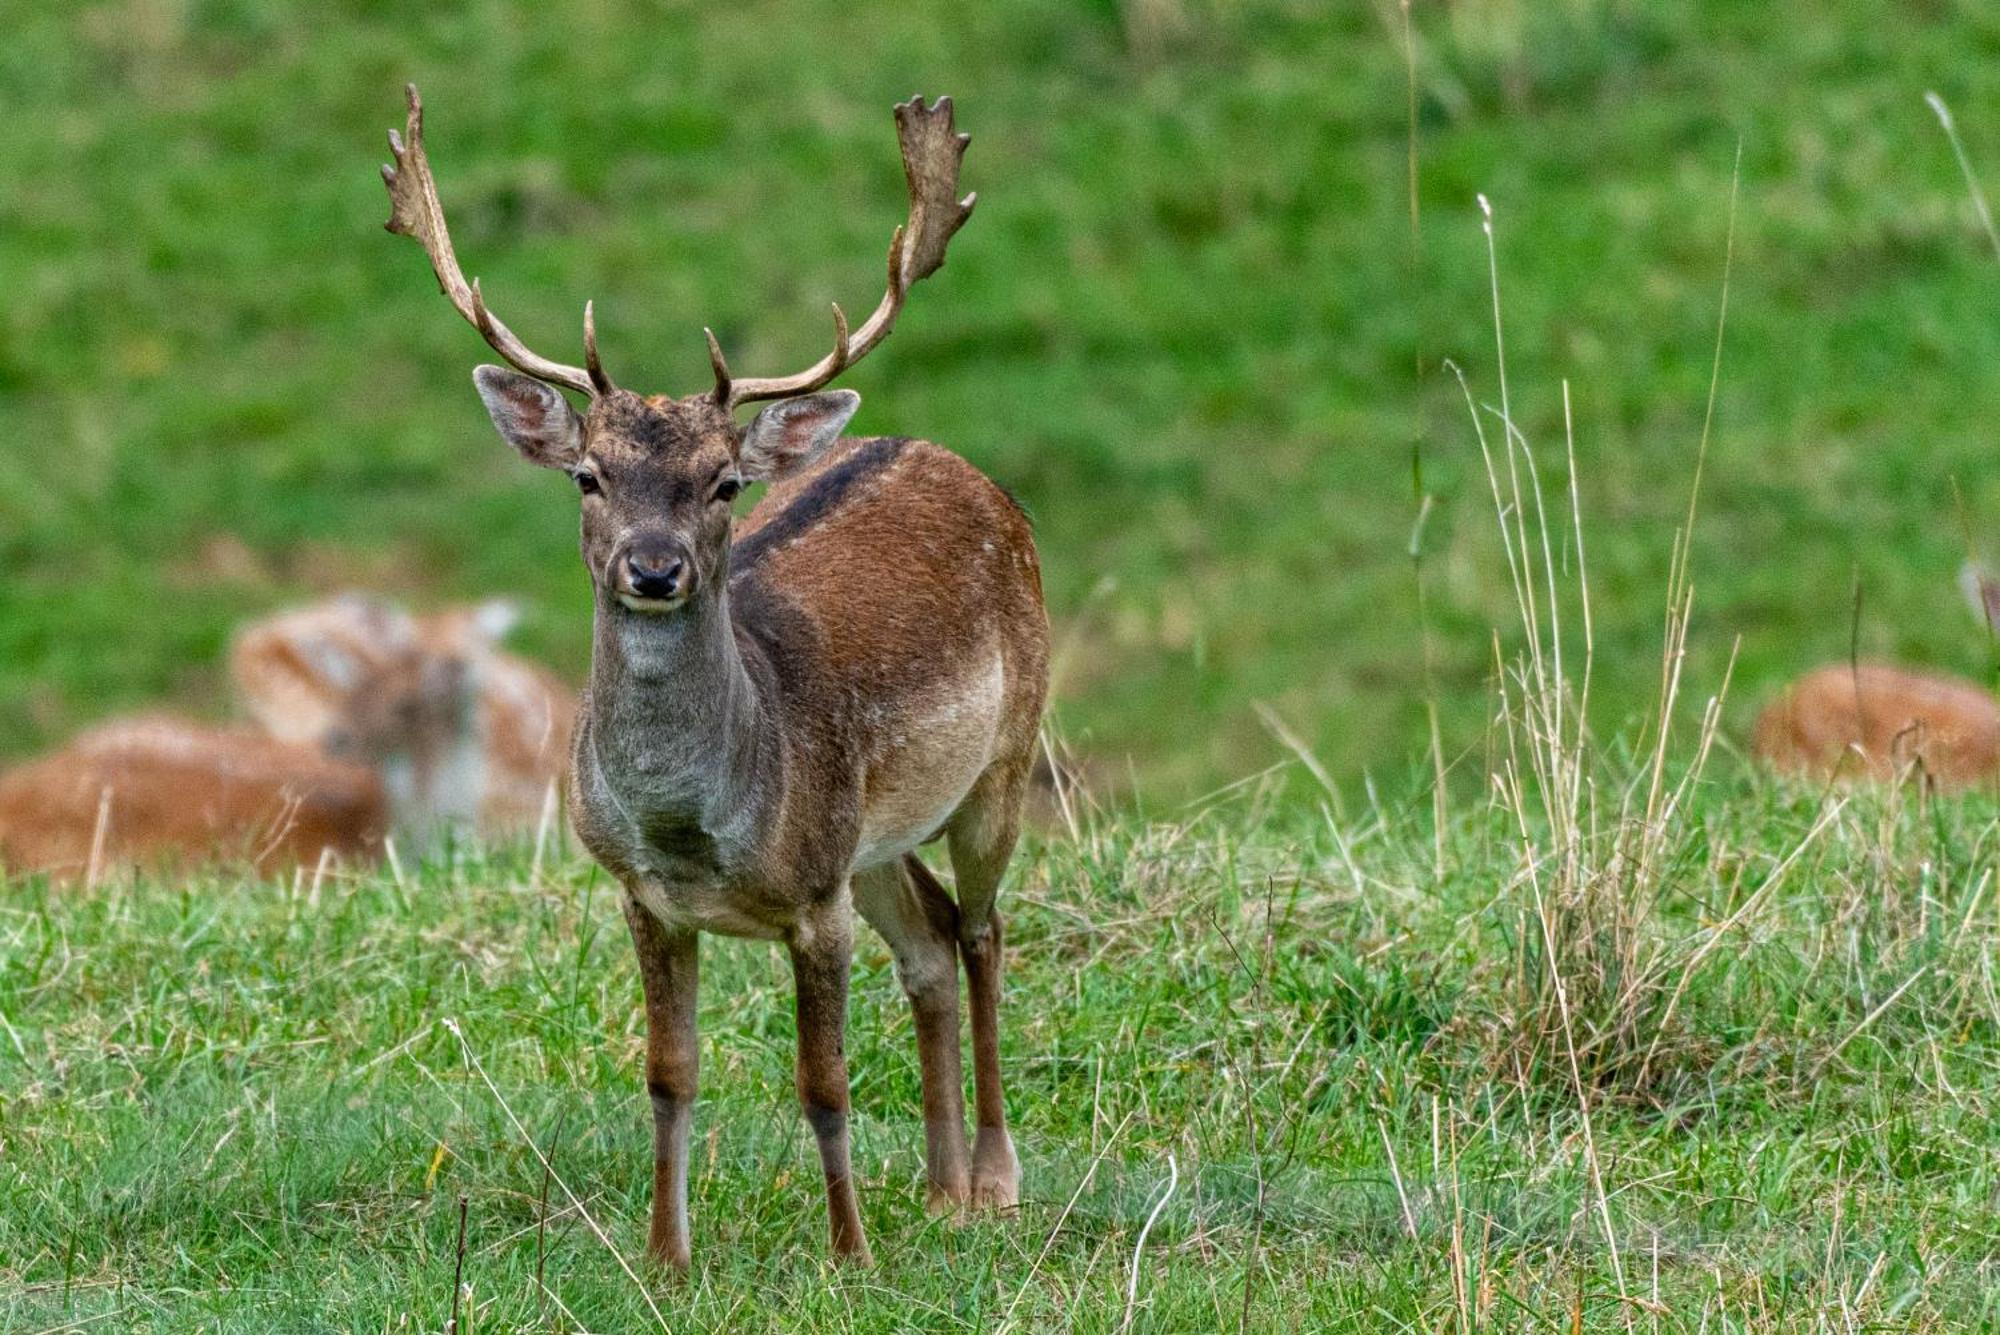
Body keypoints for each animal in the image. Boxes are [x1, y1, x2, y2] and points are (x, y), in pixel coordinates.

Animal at [384, 78, 1056, 1271]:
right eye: (589, 474)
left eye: (723, 481)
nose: (654, 568)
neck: (692, 826)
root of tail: (955, 461)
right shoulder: (647, 896)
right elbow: (669, 1076)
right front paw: (665, 1255)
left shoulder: (815, 899)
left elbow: (824, 1084)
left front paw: (847, 1254)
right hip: (874, 832)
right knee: (930, 941)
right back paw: (938, 1192)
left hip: (1002, 761)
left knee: (981, 931)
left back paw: (992, 1179)